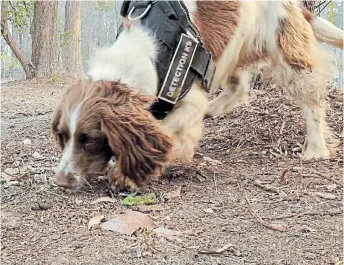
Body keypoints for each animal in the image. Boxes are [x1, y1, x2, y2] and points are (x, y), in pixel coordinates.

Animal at [51, 0, 344, 190]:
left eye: (89, 139)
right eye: (63, 136)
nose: (61, 181)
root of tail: (294, 4)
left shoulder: (188, 100)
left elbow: (166, 130)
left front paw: (125, 174)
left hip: (286, 51)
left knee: (312, 102)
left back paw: (316, 149)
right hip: (230, 54)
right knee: (239, 88)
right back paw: (213, 110)